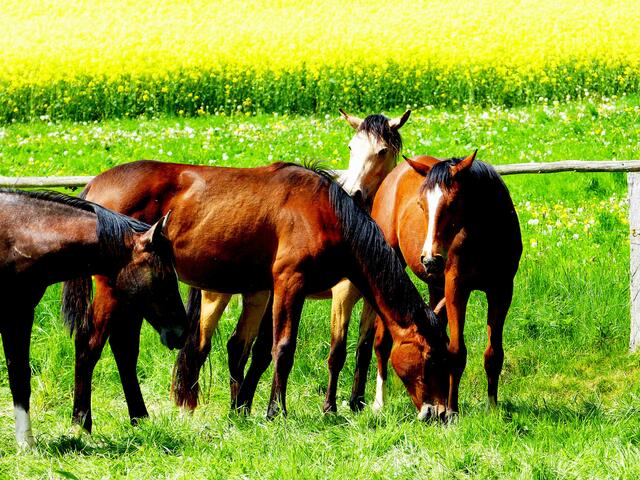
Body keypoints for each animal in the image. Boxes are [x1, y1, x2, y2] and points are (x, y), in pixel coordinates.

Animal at [0, 188, 187, 448]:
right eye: (165, 277)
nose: (182, 331)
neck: (16, 237)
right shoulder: (15, 314)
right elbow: (19, 375)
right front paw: (26, 444)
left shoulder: (22, 313)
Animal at [66, 159, 449, 429]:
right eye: (430, 357)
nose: (439, 413)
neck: (324, 212)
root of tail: (94, 187)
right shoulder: (289, 283)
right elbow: (283, 349)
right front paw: (276, 411)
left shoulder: (268, 289)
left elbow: (258, 350)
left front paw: (244, 410)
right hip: (115, 290)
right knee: (91, 344)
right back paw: (82, 419)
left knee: (124, 350)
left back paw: (139, 416)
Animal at [172, 109, 411, 414]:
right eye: (351, 147)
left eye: (382, 151)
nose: (354, 192)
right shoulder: (341, 297)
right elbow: (337, 352)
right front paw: (329, 408)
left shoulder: (372, 299)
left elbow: (363, 349)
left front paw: (357, 403)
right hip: (217, 294)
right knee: (200, 349)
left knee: (242, 347)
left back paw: (241, 407)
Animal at [365, 150, 522, 416]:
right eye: (421, 205)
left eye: (454, 203)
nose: (430, 259)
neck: (486, 236)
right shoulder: (456, 289)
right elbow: (456, 352)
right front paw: (452, 411)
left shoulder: (501, 291)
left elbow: (493, 354)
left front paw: (492, 407)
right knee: (381, 341)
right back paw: (380, 401)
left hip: (436, 287)